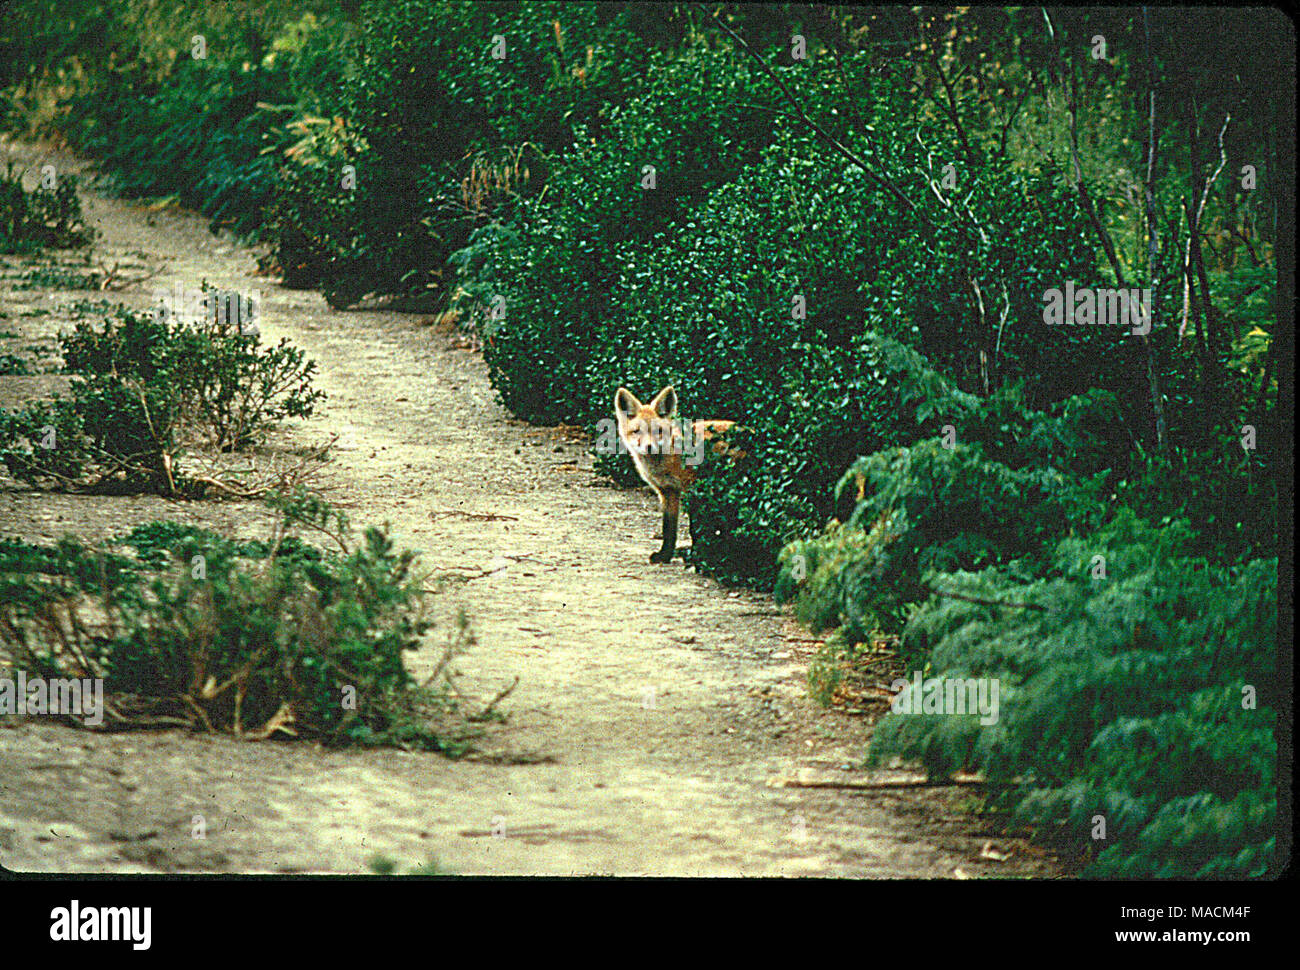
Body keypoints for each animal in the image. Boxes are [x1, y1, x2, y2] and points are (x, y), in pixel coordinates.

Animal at [614, 385, 740, 564]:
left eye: (658, 431)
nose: (649, 447)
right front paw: (665, 555)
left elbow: (695, 528)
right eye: (637, 431)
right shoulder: (668, 492)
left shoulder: (692, 488)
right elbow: (668, 528)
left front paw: (696, 555)